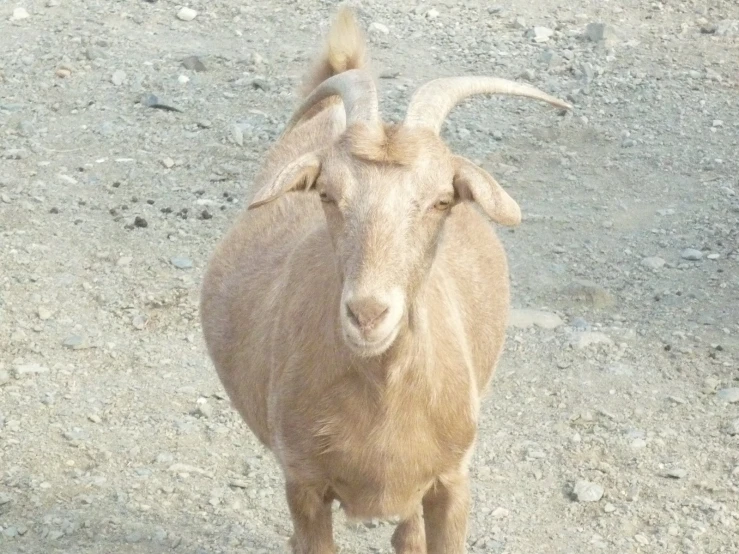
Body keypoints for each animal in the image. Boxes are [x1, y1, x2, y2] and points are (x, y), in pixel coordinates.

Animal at [201, 5, 572, 552]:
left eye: (443, 199)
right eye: (326, 193)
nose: (368, 314)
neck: (383, 397)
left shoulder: (452, 482)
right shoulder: (304, 486)